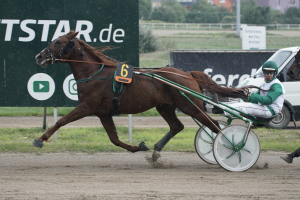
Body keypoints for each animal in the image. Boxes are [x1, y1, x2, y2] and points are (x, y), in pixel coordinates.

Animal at [34, 29, 247, 159]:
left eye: (58, 41)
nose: (39, 56)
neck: (94, 73)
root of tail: (187, 73)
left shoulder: (87, 107)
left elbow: (62, 121)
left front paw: (40, 139)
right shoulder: (103, 113)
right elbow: (114, 138)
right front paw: (139, 147)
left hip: (191, 106)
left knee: (215, 126)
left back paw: (233, 148)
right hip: (165, 106)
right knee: (178, 126)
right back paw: (156, 150)